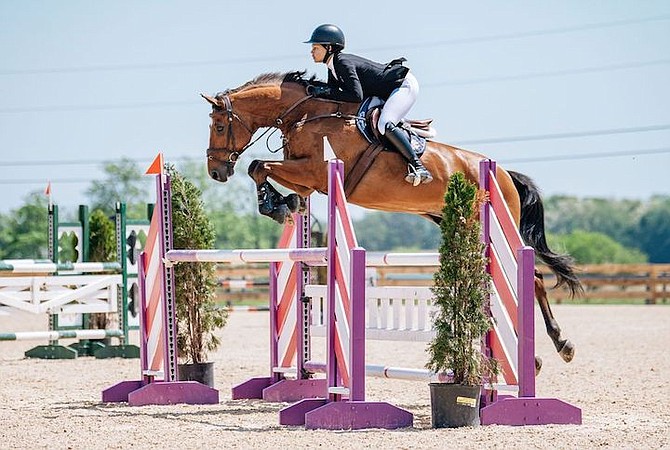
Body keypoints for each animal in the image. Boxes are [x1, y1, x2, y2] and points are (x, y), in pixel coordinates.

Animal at [203, 70, 584, 366]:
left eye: (219, 126)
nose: (216, 172)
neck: (306, 115)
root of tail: (503, 172)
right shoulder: (309, 180)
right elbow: (263, 170)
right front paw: (283, 204)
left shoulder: (316, 171)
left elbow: (258, 165)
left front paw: (276, 204)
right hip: (456, 222)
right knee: (518, 278)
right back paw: (537, 353)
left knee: (529, 276)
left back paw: (557, 346)